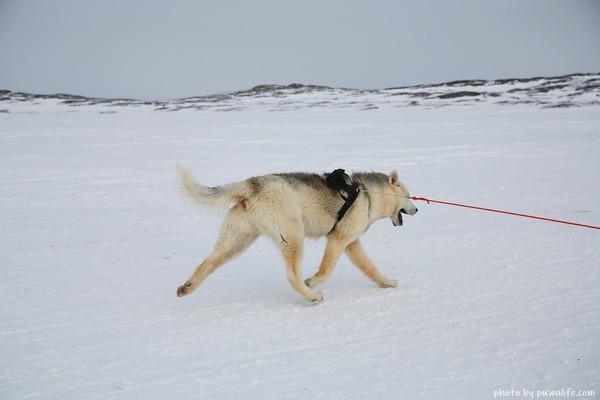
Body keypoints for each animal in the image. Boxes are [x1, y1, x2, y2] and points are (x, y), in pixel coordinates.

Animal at [173, 164, 418, 302]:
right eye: (409, 196)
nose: (417, 209)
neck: (368, 194)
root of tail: (252, 184)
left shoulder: (351, 243)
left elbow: (371, 268)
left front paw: (387, 283)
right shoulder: (338, 239)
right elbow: (326, 271)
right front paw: (312, 283)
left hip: (236, 242)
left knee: (206, 264)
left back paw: (187, 288)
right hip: (292, 237)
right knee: (292, 277)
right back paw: (311, 296)